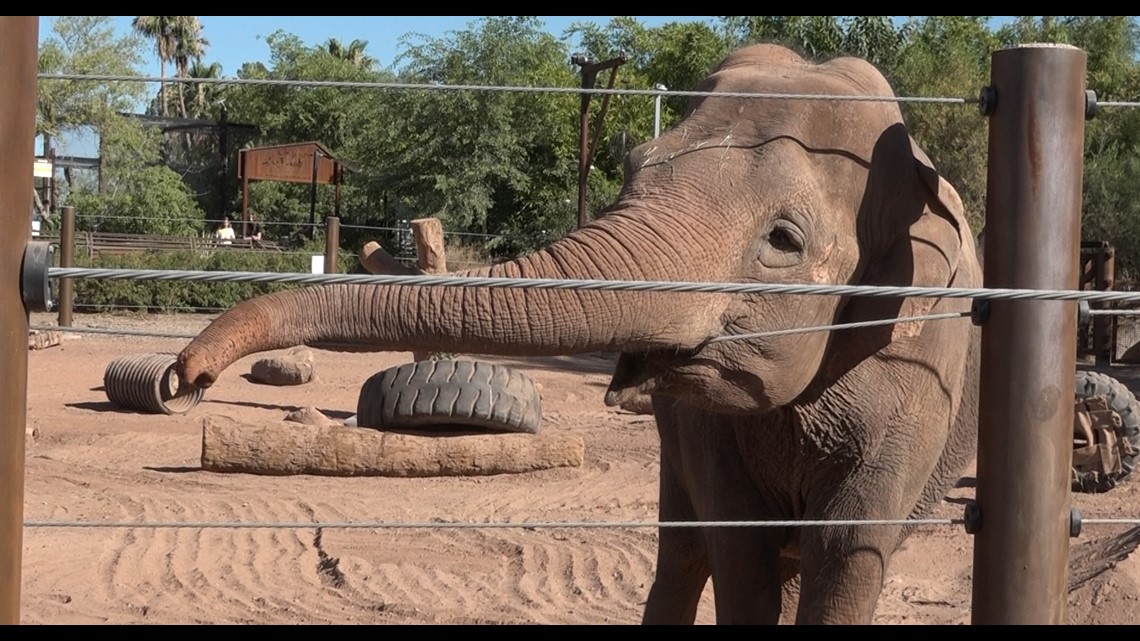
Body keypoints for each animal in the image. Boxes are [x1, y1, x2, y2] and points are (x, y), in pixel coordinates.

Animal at [175, 42, 980, 620]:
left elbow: (850, 549)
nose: (186, 375)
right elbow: (736, 546)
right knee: (685, 553)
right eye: (633, 166)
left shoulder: (920, 371)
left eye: (784, 239)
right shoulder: (698, 424)